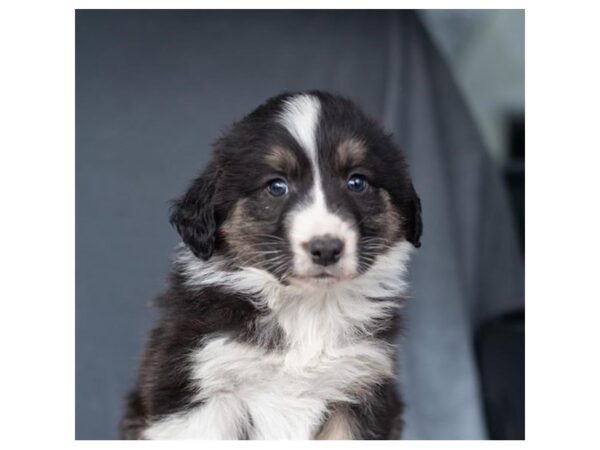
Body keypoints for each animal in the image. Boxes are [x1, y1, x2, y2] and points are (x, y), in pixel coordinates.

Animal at [119, 90, 422, 440]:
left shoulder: (360, 388)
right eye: (276, 186)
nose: (326, 249)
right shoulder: (199, 384)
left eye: (357, 182)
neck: (306, 309)